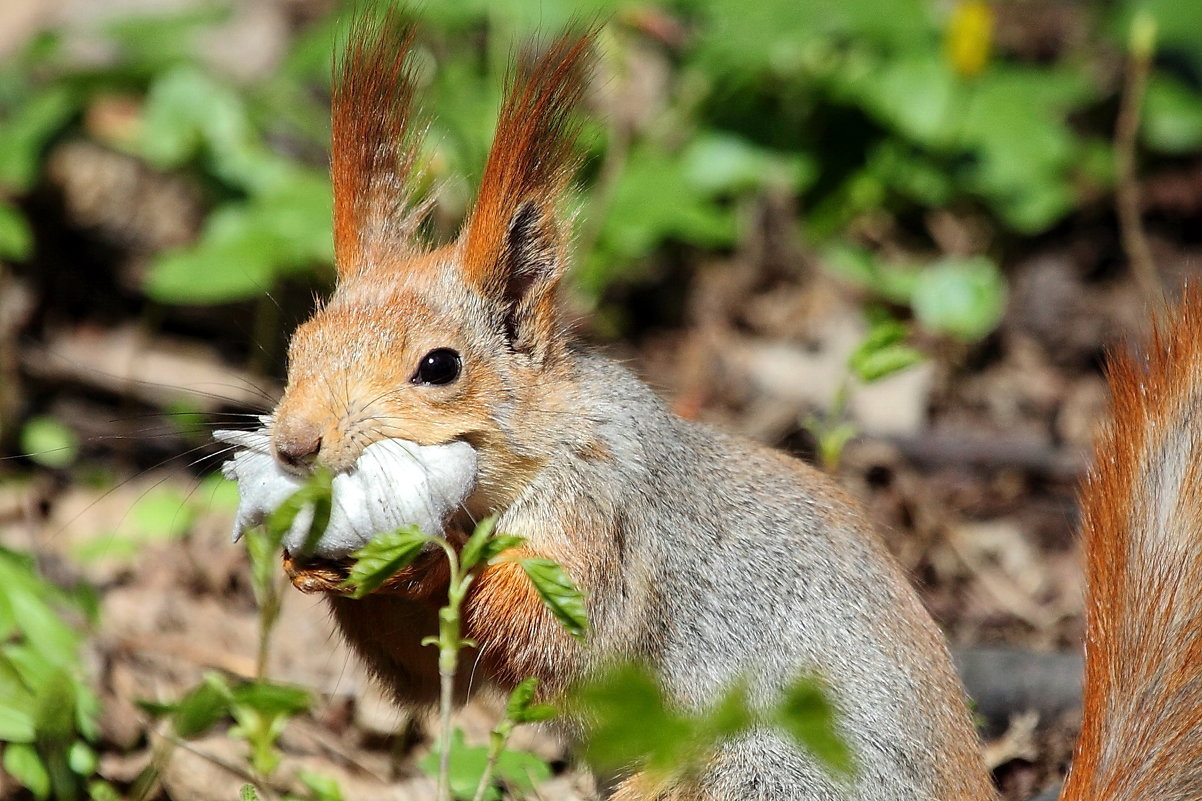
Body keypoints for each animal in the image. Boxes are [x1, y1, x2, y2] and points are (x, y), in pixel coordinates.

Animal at [213, 14, 1202, 798]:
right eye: (298, 347)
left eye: (440, 366)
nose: (296, 444)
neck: (545, 443)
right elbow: (424, 675)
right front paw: (315, 568)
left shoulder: (610, 515)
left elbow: (562, 631)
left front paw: (428, 560)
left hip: (767, 774)